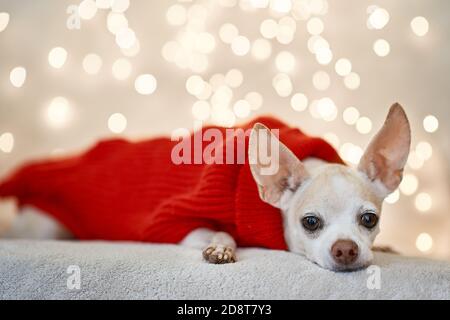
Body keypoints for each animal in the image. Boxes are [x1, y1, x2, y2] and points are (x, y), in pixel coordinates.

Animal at [0, 104, 410, 272]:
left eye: (369, 220)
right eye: (310, 223)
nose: (345, 250)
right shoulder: (173, 223)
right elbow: (219, 231)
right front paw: (221, 246)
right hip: (47, 224)